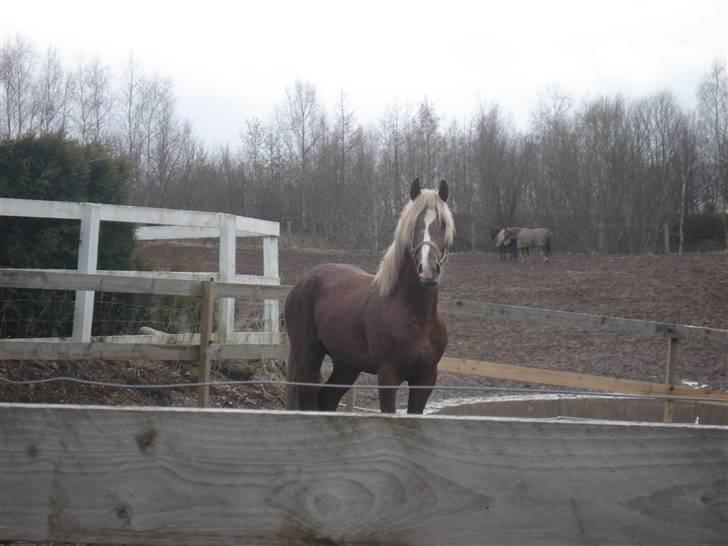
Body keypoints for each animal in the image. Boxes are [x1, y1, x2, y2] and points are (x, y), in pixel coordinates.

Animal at [286, 178, 452, 412]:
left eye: (443, 224)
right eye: (413, 225)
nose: (427, 271)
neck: (415, 314)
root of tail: (301, 282)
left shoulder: (425, 379)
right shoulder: (388, 377)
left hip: (347, 365)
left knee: (327, 399)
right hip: (309, 358)